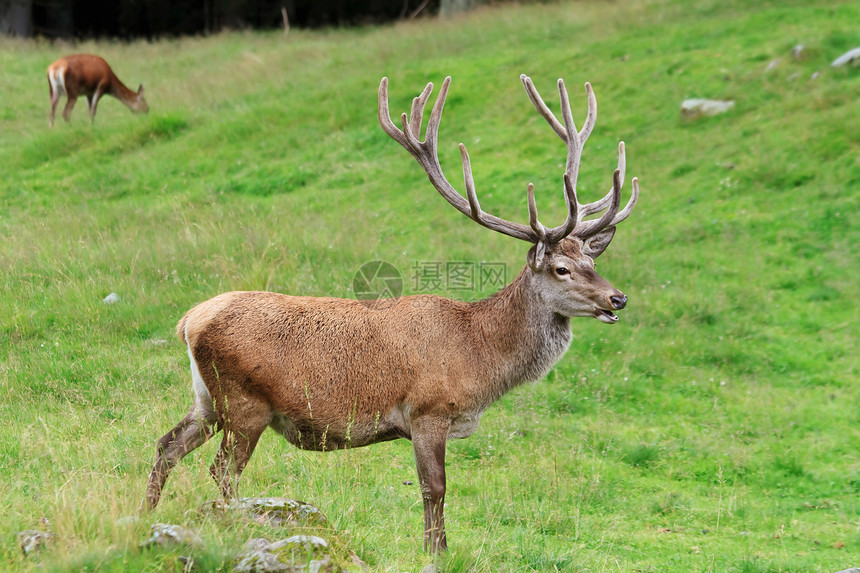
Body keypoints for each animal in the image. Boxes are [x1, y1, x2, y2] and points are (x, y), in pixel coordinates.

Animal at [141, 73, 640, 552]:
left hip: (207, 400)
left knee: (167, 446)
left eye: (593, 262)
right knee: (222, 470)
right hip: (245, 401)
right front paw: (436, 552)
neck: (478, 358)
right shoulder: (427, 410)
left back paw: (146, 516)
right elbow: (434, 489)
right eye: (561, 269)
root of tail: (189, 321)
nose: (617, 298)